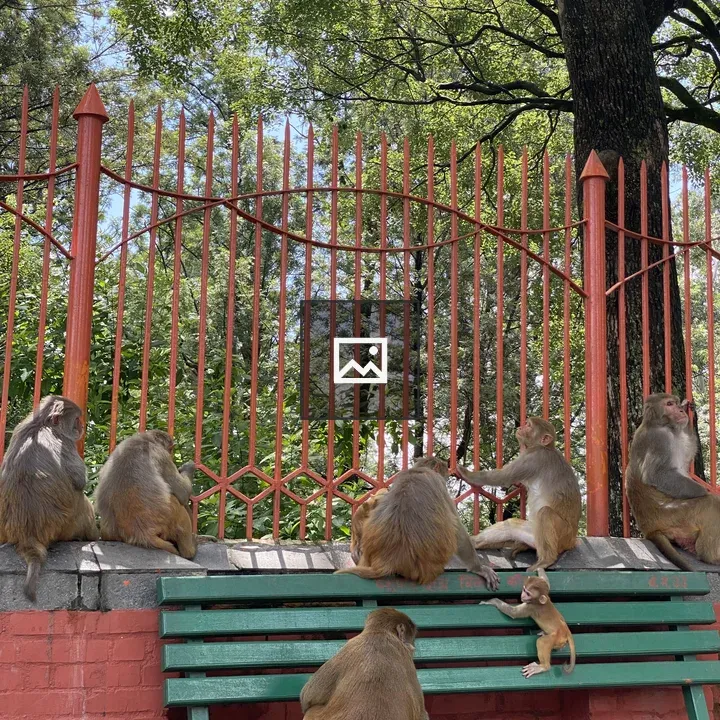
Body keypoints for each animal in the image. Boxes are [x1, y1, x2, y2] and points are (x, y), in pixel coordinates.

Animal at [0, 395, 99, 601]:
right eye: (76, 419)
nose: (82, 426)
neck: (41, 424)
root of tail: (27, 535)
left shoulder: (19, 428)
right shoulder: (65, 443)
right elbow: (80, 482)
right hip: (67, 525)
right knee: (80, 499)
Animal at [94, 430, 197, 559]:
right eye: (170, 449)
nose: (171, 453)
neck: (145, 439)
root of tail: (141, 533)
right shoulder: (162, 456)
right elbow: (183, 494)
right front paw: (188, 468)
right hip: (168, 518)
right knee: (177, 502)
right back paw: (189, 550)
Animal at [336, 456, 499, 589]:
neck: (419, 470)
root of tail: (389, 561)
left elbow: (374, 502)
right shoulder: (439, 484)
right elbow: (459, 531)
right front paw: (479, 568)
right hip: (430, 566)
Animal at [456, 417, 581, 572]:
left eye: (529, 425)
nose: (521, 427)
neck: (544, 447)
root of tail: (572, 541)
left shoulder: (534, 458)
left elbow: (502, 477)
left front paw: (466, 473)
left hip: (563, 536)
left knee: (545, 513)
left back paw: (546, 560)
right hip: (533, 534)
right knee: (510, 525)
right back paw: (475, 542)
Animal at [626, 393, 720, 570]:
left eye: (676, 403)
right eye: (669, 404)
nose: (680, 410)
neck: (663, 425)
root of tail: (650, 530)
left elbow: (689, 452)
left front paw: (690, 410)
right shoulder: (659, 439)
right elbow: (658, 474)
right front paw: (706, 491)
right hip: (673, 516)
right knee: (710, 505)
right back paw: (710, 557)